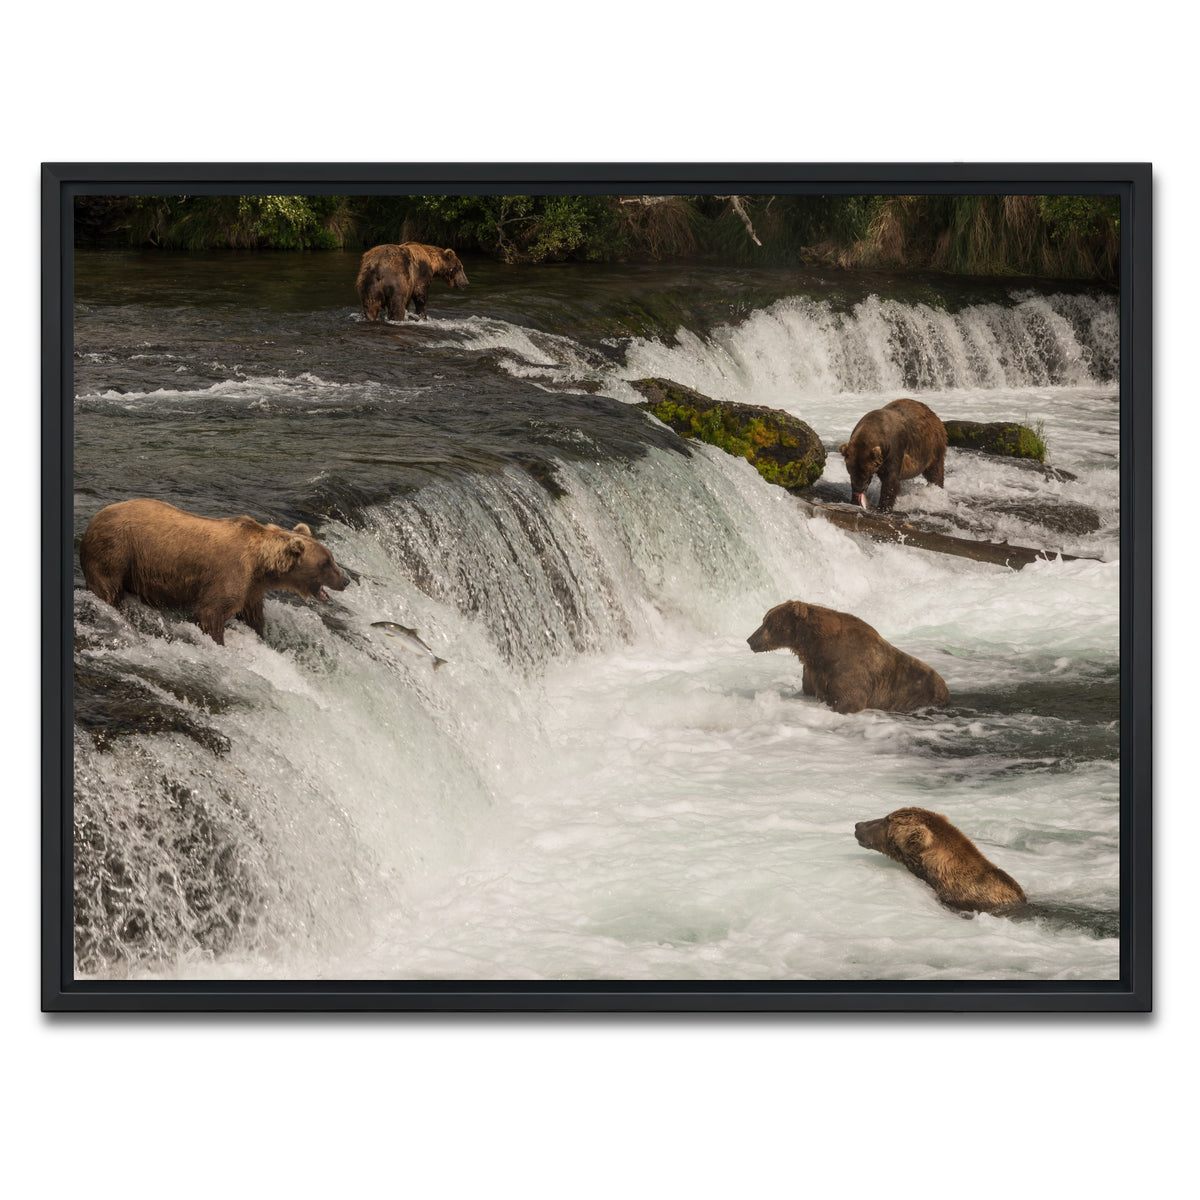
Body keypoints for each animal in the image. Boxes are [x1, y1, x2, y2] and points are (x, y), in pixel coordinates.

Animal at [79, 498, 350, 646]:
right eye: (327, 562)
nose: (346, 580)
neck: (261, 565)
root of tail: (93, 520)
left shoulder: (252, 588)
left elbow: (253, 616)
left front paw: (261, 634)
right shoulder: (230, 573)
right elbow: (211, 612)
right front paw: (219, 641)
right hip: (116, 551)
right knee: (108, 589)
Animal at [746, 600, 949, 714]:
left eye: (768, 622)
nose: (750, 640)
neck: (817, 648)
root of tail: (945, 688)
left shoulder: (849, 667)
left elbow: (849, 699)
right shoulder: (813, 671)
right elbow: (809, 690)